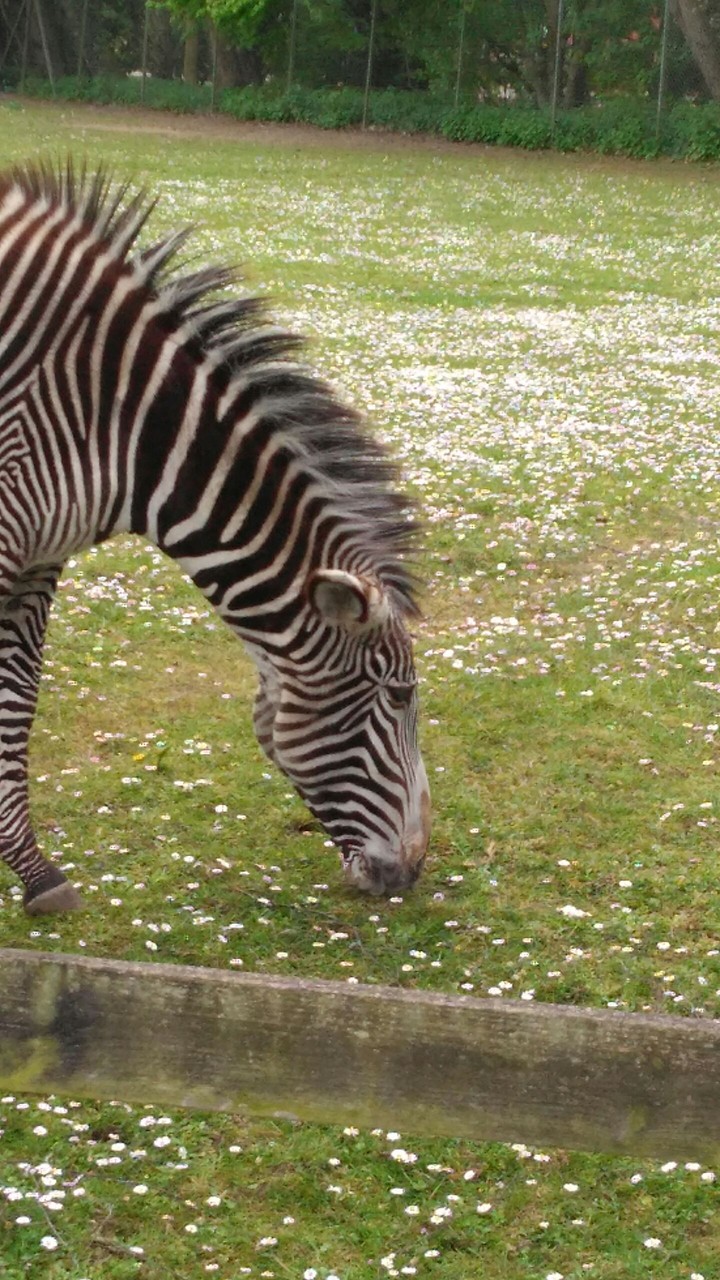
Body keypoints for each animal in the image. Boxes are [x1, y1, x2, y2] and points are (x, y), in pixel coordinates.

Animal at [0, 161, 430, 914]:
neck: (118, 423)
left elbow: (17, 705)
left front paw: (36, 874)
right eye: (401, 697)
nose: (413, 868)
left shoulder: (40, 556)